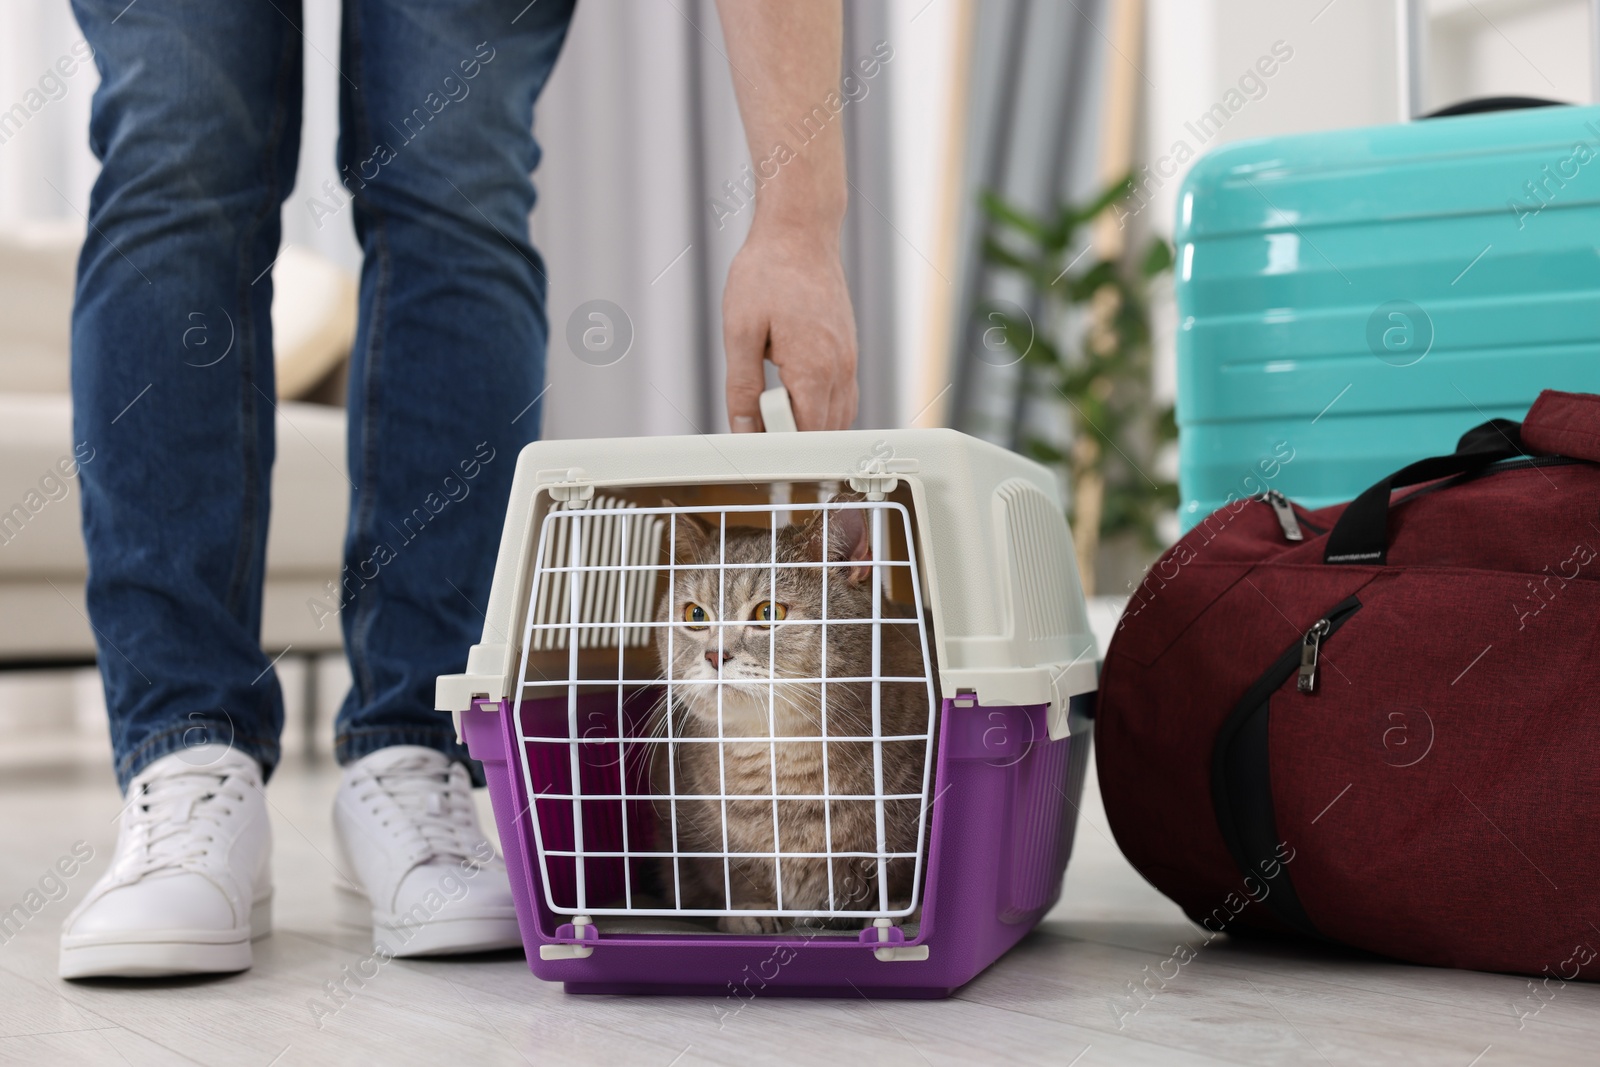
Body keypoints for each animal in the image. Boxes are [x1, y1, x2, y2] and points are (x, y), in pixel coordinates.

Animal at [649, 495, 934, 927]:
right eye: (695, 615)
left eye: (769, 613)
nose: (714, 655)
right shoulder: (697, 834)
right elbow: (737, 872)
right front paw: (750, 910)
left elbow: (902, 867)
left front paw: (895, 911)